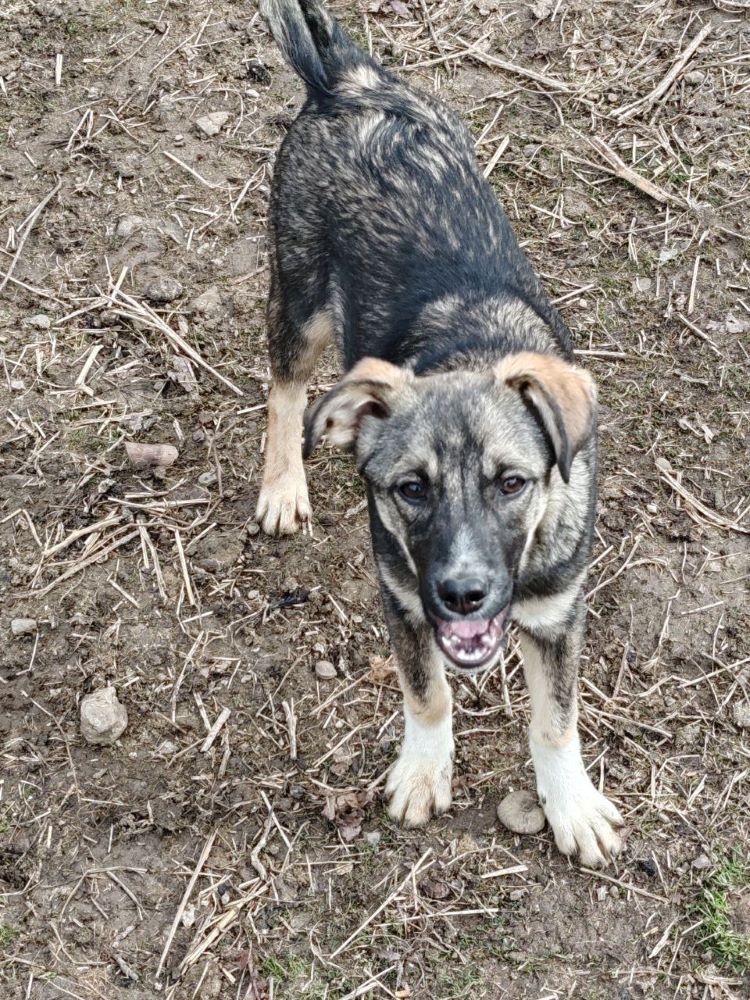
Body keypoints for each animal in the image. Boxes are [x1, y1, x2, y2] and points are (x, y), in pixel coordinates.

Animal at [258, 0, 624, 868]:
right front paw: (424, 772)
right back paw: (283, 484)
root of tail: (344, 82)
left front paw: (571, 804)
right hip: (301, 296)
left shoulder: (559, 616)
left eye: (513, 482)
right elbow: (426, 693)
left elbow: (555, 720)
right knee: (285, 390)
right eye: (410, 489)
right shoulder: (402, 600)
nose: (462, 593)